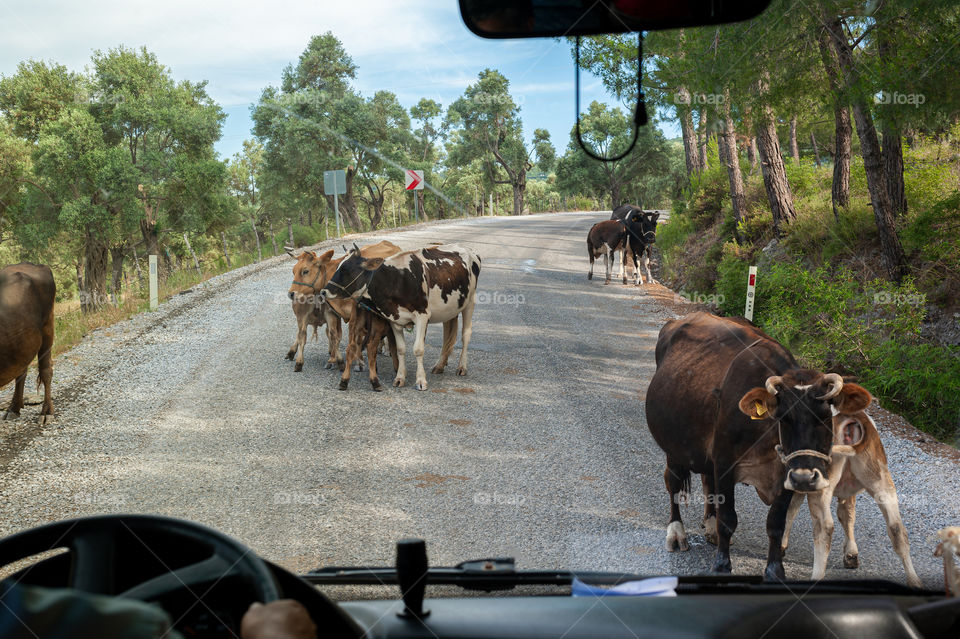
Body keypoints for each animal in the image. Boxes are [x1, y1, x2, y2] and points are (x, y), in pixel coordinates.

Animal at [318, 245, 480, 392]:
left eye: (346, 270)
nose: (324, 292)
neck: (396, 279)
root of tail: (469, 250)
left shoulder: (422, 316)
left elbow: (418, 349)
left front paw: (421, 381)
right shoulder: (394, 319)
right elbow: (400, 348)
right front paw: (400, 378)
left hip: (469, 303)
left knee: (466, 334)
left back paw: (462, 367)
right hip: (450, 309)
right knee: (448, 334)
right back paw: (440, 365)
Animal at [640, 312, 872, 584]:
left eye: (826, 416)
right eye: (784, 417)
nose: (806, 477)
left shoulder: (786, 475)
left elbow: (776, 524)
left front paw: (775, 570)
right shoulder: (725, 462)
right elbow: (728, 518)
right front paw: (722, 565)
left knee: (707, 481)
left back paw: (709, 526)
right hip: (673, 446)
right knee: (673, 483)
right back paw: (677, 532)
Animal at [780, 410, 924, 592]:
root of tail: (853, 419)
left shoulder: (796, 478)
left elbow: (790, 508)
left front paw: (781, 545)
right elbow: (847, 514)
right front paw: (851, 555)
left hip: (819, 483)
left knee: (824, 526)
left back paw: (816, 576)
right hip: (881, 481)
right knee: (897, 528)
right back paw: (914, 581)